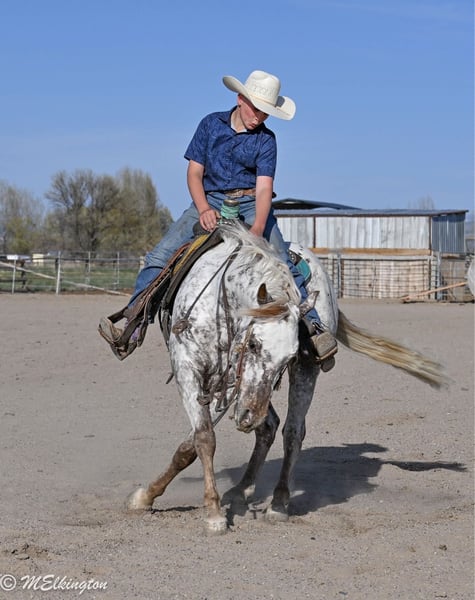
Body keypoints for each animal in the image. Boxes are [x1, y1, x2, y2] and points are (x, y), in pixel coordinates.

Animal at [127, 221, 445, 533]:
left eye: (288, 357)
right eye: (253, 344)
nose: (248, 418)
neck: (221, 301)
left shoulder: (232, 382)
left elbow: (199, 439)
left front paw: (211, 513)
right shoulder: (191, 369)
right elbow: (202, 438)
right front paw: (162, 498)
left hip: (301, 371)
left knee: (292, 430)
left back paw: (277, 502)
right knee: (275, 427)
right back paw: (245, 490)